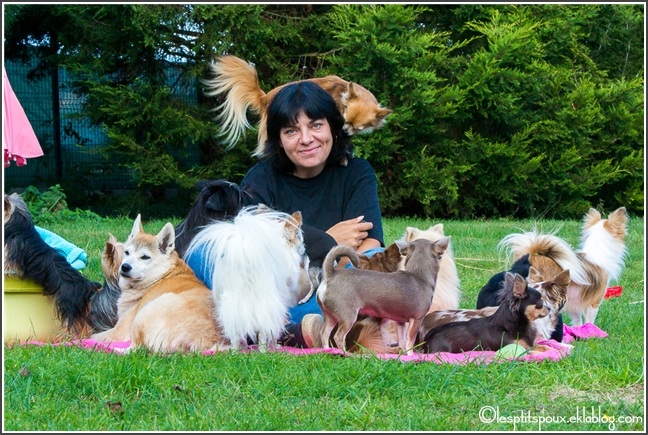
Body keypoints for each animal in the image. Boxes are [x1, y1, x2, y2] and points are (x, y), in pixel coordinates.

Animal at [3, 194, 102, 338]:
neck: (20, 225)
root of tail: (88, 284)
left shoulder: (11, 256)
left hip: (69, 304)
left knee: (71, 323)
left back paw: (64, 337)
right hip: (82, 306)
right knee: (85, 323)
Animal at [185, 206, 308, 352]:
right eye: (299, 238)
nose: (304, 248)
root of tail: (245, 254)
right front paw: (274, 345)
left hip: (231, 301)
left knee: (235, 331)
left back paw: (236, 351)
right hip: (266, 301)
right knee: (263, 329)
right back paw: (263, 351)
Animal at [316, 237, 448, 356]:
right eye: (439, 257)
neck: (418, 276)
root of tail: (330, 275)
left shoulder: (400, 322)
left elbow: (402, 340)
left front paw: (403, 354)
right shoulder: (416, 320)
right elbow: (410, 341)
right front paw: (411, 356)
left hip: (331, 316)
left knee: (324, 333)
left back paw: (328, 350)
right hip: (348, 317)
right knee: (338, 336)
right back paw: (345, 353)